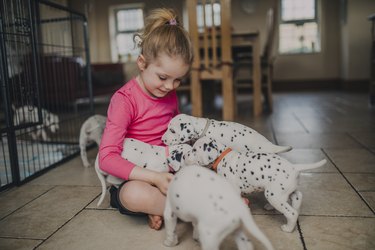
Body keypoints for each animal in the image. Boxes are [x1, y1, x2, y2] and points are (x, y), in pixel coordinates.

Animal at [187, 137, 328, 232]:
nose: (187, 154)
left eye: (194, 150)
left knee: (291, 212)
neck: (222, 157)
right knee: (297, 196)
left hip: (274, 195)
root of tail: (294, 167)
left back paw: (288, 228)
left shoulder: (234, 189)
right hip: (285, 190)